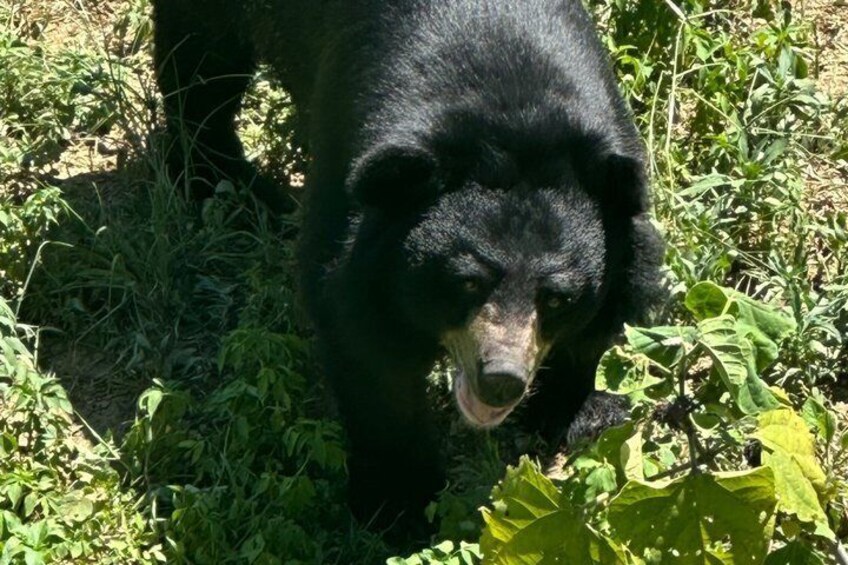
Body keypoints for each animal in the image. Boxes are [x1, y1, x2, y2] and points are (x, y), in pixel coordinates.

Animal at [151, 0, 664, 527]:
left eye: (558, 297)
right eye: (466, 283)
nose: (501, 381)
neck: (515, 116)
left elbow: (596, 329)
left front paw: (580, 413)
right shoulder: (358, 206)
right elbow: (368, 349)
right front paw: (398, 503)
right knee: (201, 61)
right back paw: (222, 180)